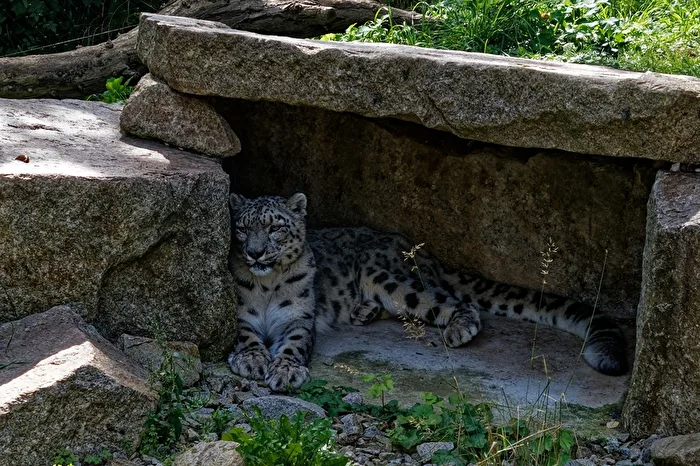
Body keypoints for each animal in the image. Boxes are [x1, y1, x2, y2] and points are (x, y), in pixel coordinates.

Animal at [227, 192, 628, 392]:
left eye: (275, 227)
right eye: (242, 228)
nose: (255, 253)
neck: (267, 286)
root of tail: (418, 249)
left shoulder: (298, 319)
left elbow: (294, 343)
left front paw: (284, 371)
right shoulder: (241, 315)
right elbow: (246, 336)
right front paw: (252, 360)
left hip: (388, 277)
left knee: (452, 301)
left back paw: (458, 330)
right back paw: (363, 311)